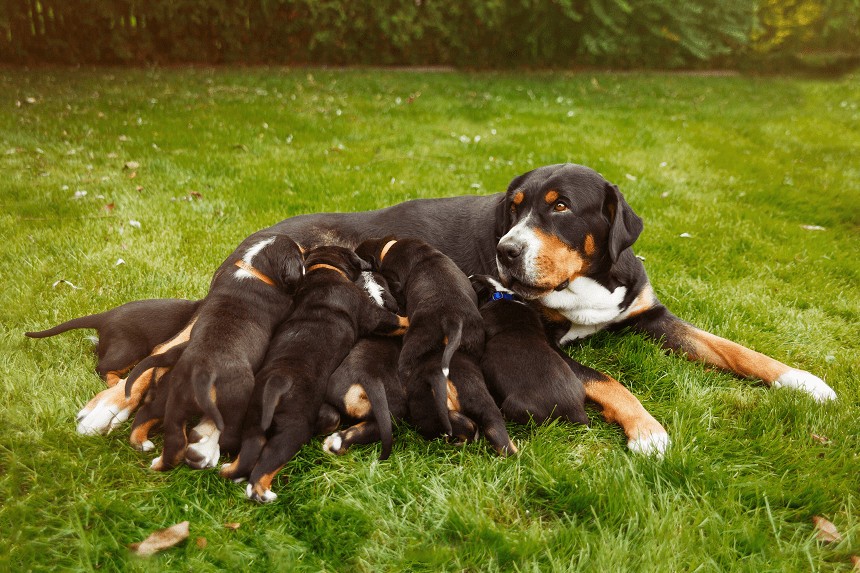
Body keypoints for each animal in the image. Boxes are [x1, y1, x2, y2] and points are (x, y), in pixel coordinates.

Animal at [122, 232, 304, 470]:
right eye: (300, 254)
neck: (254, 268)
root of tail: (203, 373)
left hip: (176, 401)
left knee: (169, 435)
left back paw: (151, 455)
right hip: (237, 398)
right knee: (228, 435)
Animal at [222, 246, 410, 500]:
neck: (323, 270)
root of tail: (274, 384)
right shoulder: (375, 315)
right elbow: (401, 320)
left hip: (254, 421)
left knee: (246, 457)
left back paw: (229, 470)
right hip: (294, 429)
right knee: (265, 467)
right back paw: (265, 494)